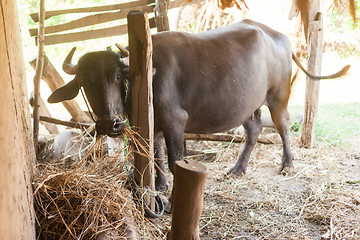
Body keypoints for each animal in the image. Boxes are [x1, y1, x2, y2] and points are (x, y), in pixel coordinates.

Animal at [47, 19, 348, 193]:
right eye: (85, 81)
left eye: (118, 76)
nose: (112, 123)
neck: (146, 75)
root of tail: (282, 38)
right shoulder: (155, 125)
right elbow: (156, 157)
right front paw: (160, 186)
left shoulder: (175, 121)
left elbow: (174, 159)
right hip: (246, 103)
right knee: (254, 128)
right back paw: (238, 169)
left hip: (278, 96)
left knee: (283, 126)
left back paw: (287, 164)